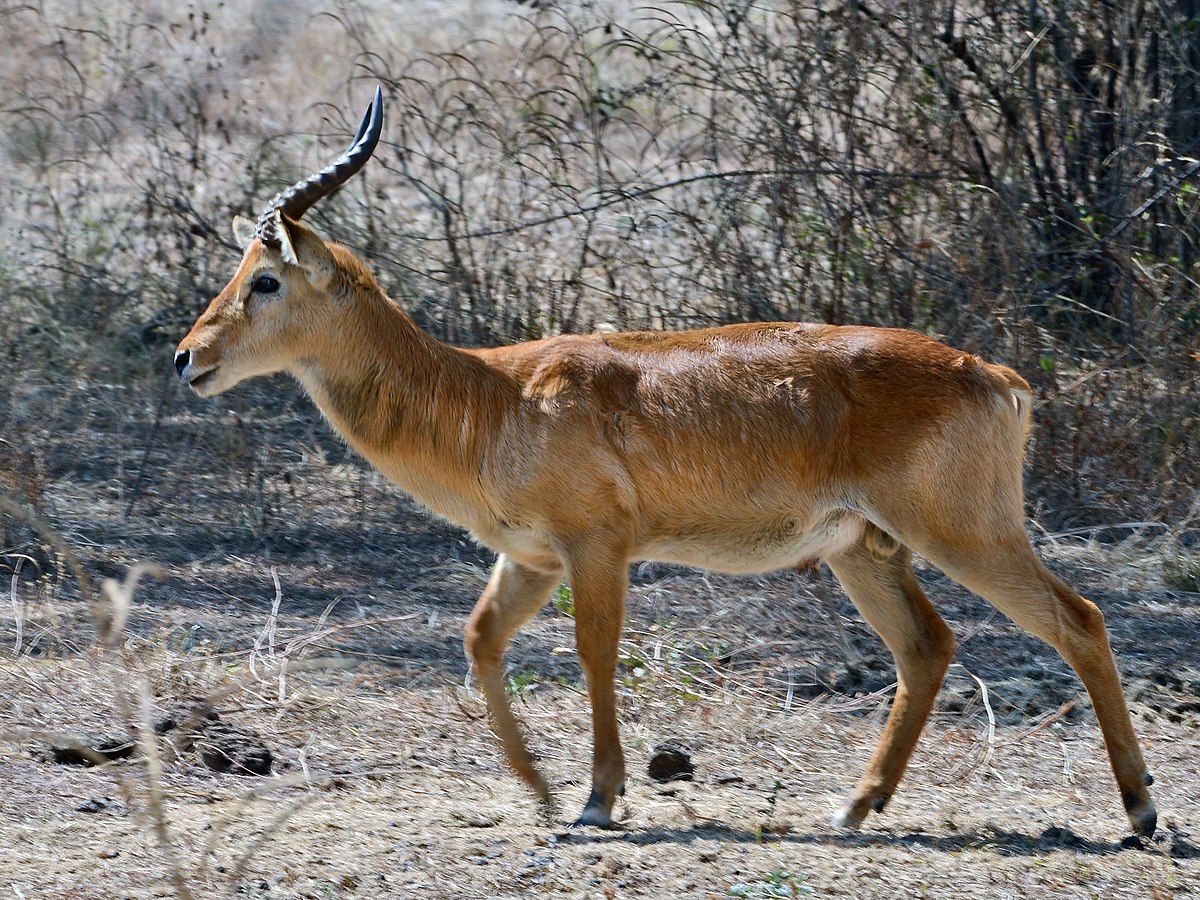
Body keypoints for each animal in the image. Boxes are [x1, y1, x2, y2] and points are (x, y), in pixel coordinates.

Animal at [174, 91, 1156, 840]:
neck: (497, 395)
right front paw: (541, 790)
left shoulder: (598, 547)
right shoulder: (530, 557)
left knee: (1080, 621)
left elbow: (594, 652)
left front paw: (599, 799)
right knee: (928, 646)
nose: (188, 357)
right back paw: (855, 807)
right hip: (864, 550)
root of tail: (994, 376)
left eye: (266, 277)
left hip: (963, 535)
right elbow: (482, 639)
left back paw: (1141, 814)